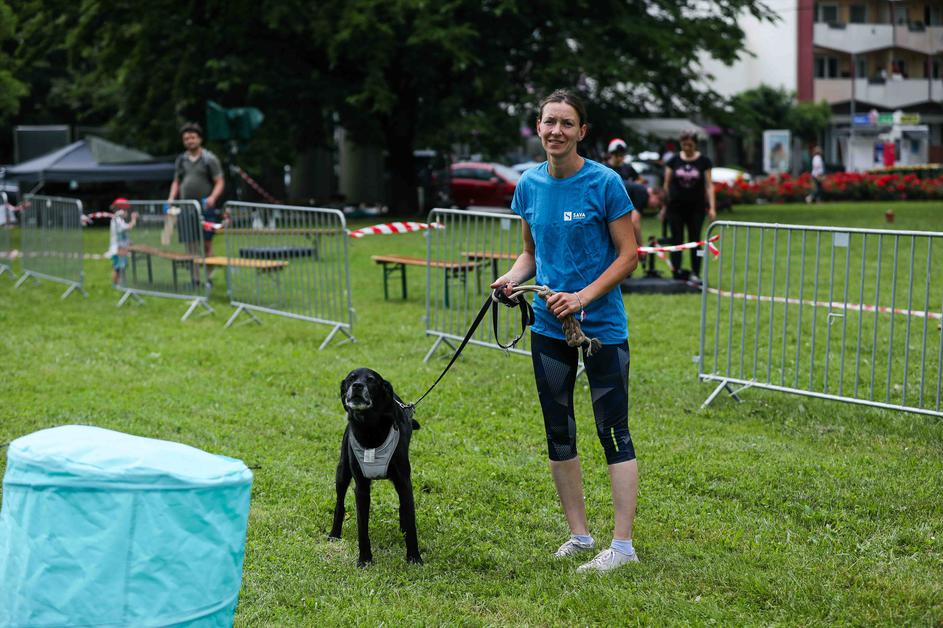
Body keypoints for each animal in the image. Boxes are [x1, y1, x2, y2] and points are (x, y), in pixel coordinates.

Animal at [330, 366, 422, 568]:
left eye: (371, 380)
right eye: (351, 378)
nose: (357, 386)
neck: (370, 429)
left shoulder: (404, 483)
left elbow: (411, 522)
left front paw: (414, 557)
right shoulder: (361, 488)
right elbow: (362, 527)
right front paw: (365, 559)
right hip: (342, 472)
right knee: (340, 503)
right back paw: (334, 534)